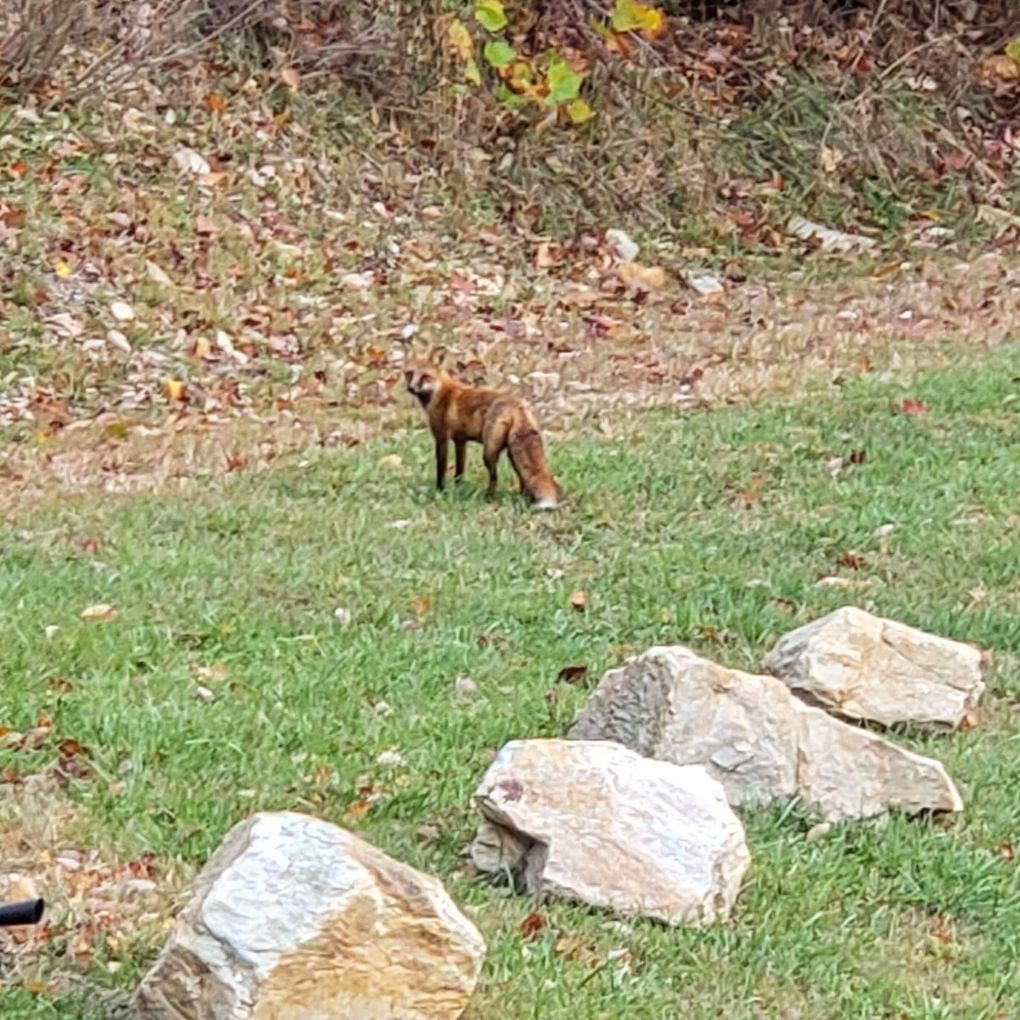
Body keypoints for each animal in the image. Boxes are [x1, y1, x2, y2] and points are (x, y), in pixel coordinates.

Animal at [404, 352, 562, 509]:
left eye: (425, 376)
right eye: (410, 374)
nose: (410, 388)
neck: (440, 393)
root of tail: (517, 405)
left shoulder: (441, 437)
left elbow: (441, 468)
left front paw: (440, 490)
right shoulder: (460, 440)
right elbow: (460, 469)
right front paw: (458, 487)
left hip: (489, 453)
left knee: (495, 478)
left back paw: (488, 498)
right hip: (512, 454)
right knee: (523, 479)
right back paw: (524, 500)